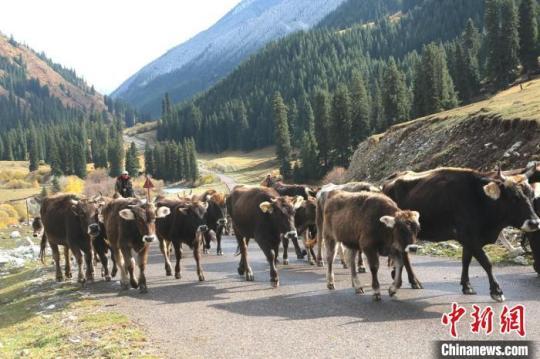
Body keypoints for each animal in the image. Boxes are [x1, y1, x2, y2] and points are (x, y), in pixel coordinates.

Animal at [384, 167, 540, 302]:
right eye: (514, 197)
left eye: (532, 196)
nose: (534, 222)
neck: (479, 199)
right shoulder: (469, 238)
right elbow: (487, 262)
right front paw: (496, 291)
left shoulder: (469, 240)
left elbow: (466, 260)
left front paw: (467, 286)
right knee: (405, 256)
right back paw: (414, 281)